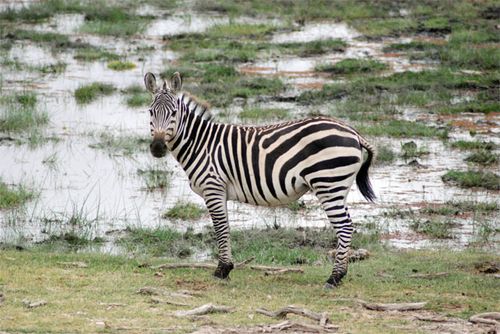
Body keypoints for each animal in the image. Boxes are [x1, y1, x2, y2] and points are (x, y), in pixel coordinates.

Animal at [145, 72, 376, 288]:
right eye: (150, 112)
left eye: (174, 113)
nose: (157, 147)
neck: (200, 144)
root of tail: (354, 133)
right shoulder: (220, 192)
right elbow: (225, 227)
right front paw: (226, 267)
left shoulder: (213, 188)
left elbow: (220, 228)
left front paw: (222, 270)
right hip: (338, 187)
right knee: (348, 225)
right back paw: (341, 274)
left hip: (328, 184)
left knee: (344, 226)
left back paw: (334, 278)